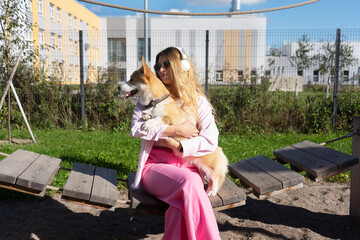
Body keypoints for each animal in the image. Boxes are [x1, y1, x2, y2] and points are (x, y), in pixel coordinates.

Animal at [121, 56, 228, 197]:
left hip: (209, 167)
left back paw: (212, 192)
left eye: (132, 79)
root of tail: (218, 149)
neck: (156, 102)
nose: (118, 87)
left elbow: (158, 118)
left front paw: (147, 124)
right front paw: (146, 117)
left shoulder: (169, 118)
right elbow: (150, 115)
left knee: (217, 178)